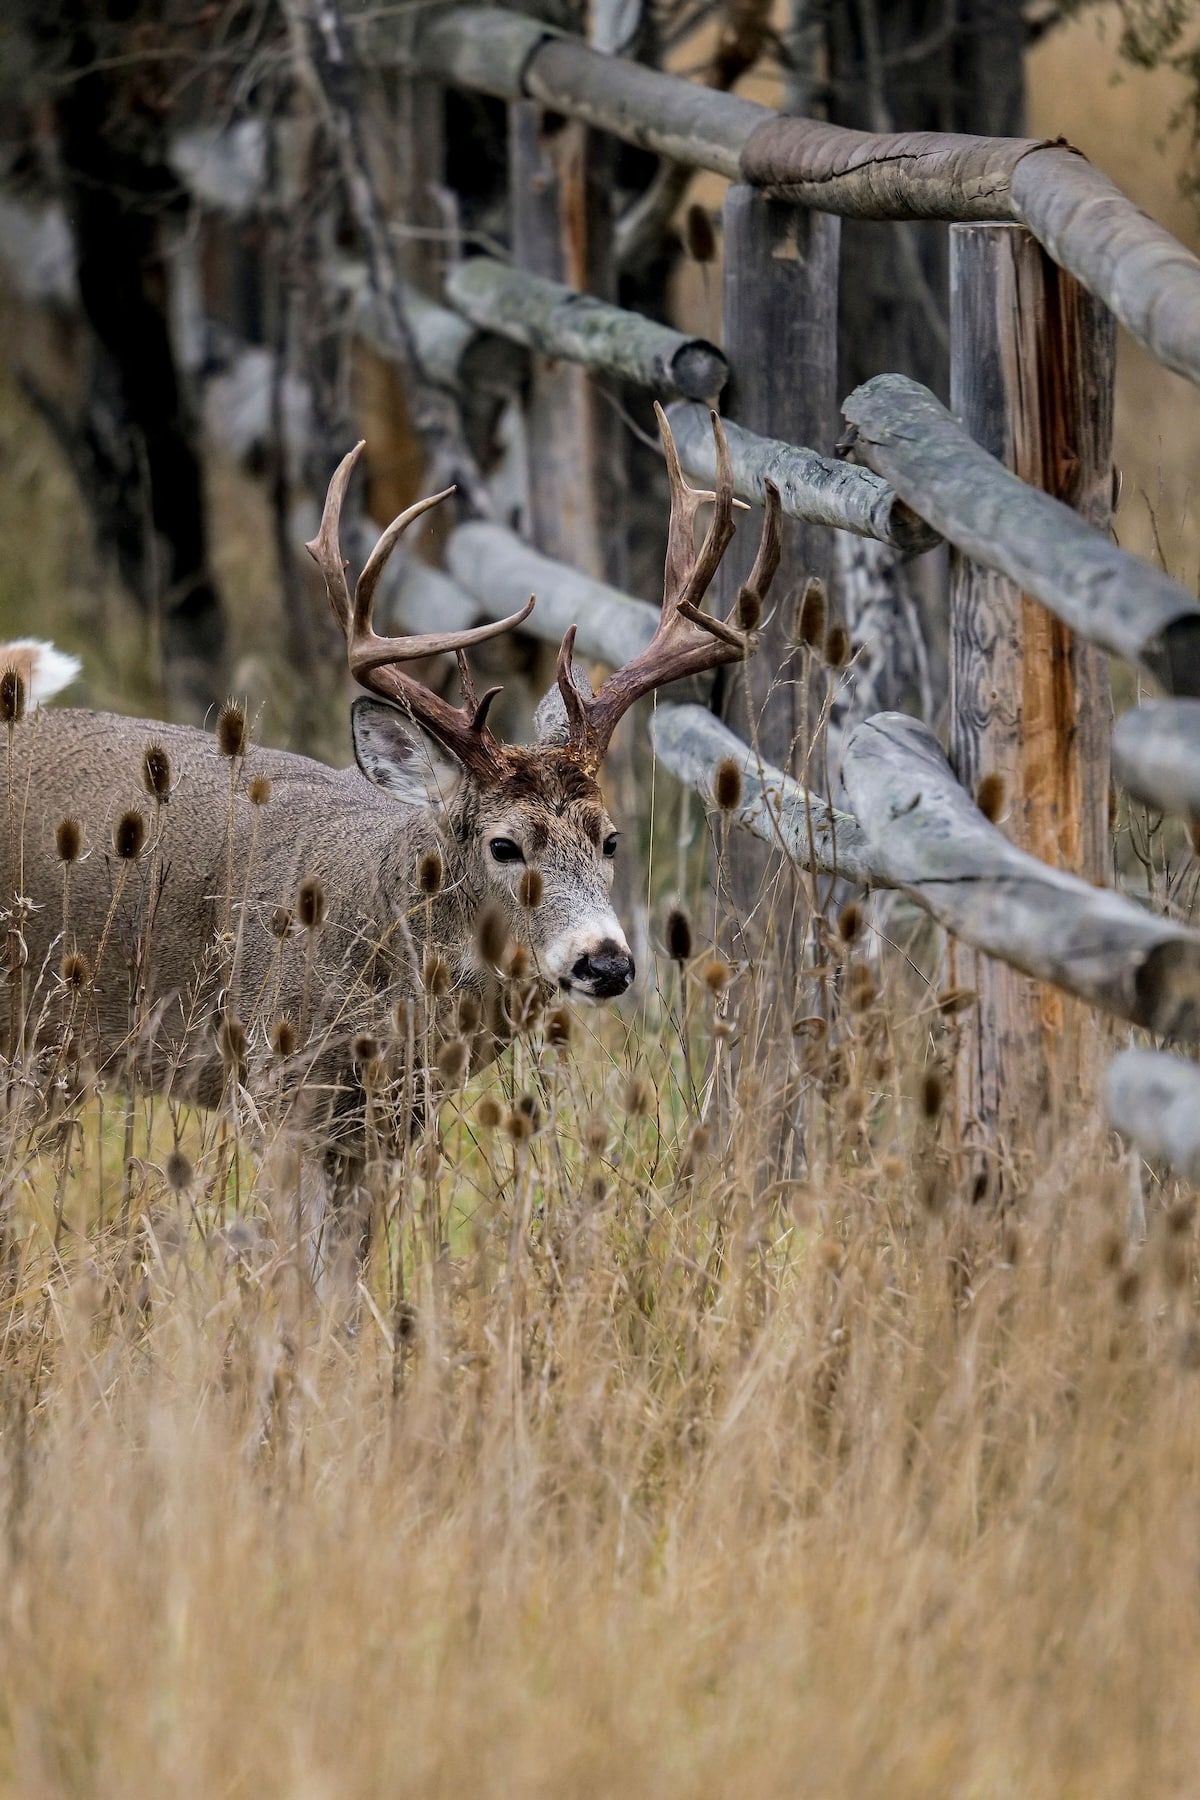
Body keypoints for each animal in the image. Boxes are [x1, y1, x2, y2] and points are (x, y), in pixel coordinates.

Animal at [0, 405, 780, 1279]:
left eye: (609, 840)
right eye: (504, 846)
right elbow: (297, 1277)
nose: (605, 962)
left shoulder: (385, 1125)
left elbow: (346, 1275)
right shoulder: (277, 1085)